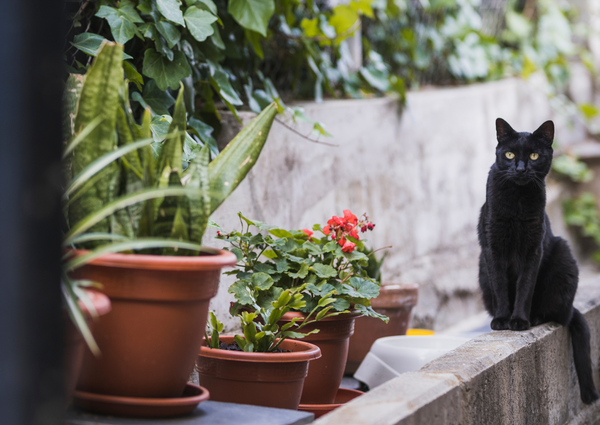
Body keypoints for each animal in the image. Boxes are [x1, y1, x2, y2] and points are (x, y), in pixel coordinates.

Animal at [478, 117, 600, 402]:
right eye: (509, 155)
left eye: (534, 155)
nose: (521, 169)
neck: (518, 202)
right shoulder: (492, 248)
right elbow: (501, 287)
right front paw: (502, 320)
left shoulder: (533, 250)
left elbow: (525, 288)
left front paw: (519, 321)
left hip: (563, 256)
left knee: (556, 313)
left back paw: (534, 318)